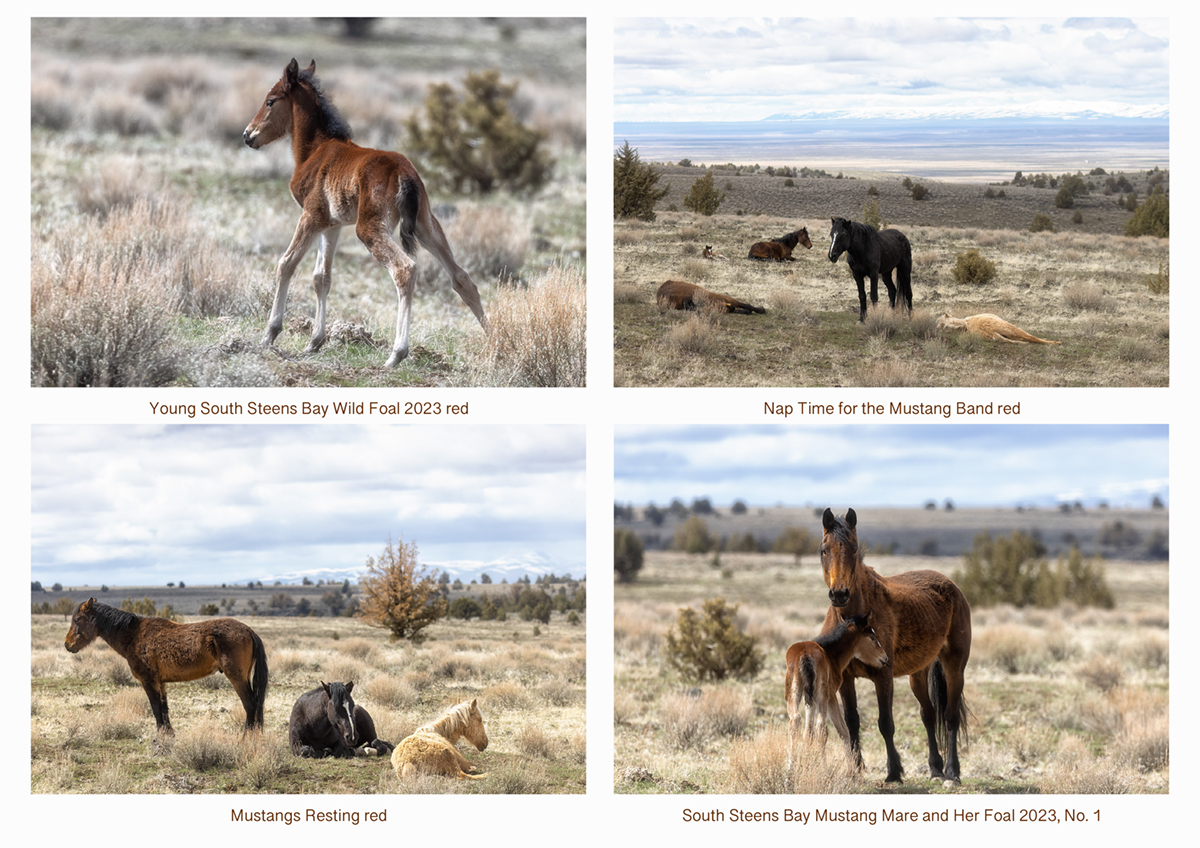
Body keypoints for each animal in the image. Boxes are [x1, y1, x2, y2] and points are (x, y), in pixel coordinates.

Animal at [64, 597, 268, 734]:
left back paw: (246, 738)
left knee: (250, 705)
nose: (67, 645)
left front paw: (159, 738)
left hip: (237, 677)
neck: (134, 635)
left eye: (77, 620)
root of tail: (249, 630)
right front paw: (168, 735)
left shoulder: (148, 681)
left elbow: (155, 709)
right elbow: (164, 708)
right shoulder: (160, 682)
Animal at [241, 58, 489, 364]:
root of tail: (404, 171)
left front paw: (269, 335)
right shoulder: (331, 224)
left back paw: (397, 354)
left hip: (369, 227)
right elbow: (321, 277)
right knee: (461, 277)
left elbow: (286, 264)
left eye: (270, 101)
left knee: (405, 269)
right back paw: (496, 341)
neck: (315, 149)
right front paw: (314, 342)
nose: (247, 135)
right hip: (426, 225)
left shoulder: (310, 216)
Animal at [820, 508, 969, 786]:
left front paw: (893, 773)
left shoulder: (883, 675)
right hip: (918, 674)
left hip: (954, 666)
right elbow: (851, 721)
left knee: (950, 716)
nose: (839, 594)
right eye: (824, 550)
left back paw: (952, 772)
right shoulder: (845, 679)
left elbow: (885, 723)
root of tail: (950, 584)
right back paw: (935, 769)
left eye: (854, 549)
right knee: (928, 714)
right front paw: (857, 768)